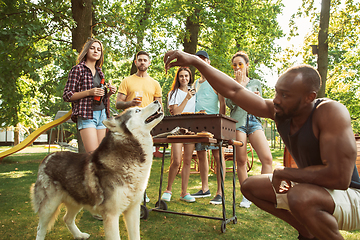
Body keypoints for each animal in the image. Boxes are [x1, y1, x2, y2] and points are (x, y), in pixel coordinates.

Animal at [31, 101, 163, 240]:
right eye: (137, 110)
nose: (156, 101)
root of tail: (48, 157)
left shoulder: (133, 210)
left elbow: (135, 236)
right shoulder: (111, 216)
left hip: (77, 200)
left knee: (67, 219)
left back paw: (79, 235)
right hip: (49, 206)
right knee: (40, 228)